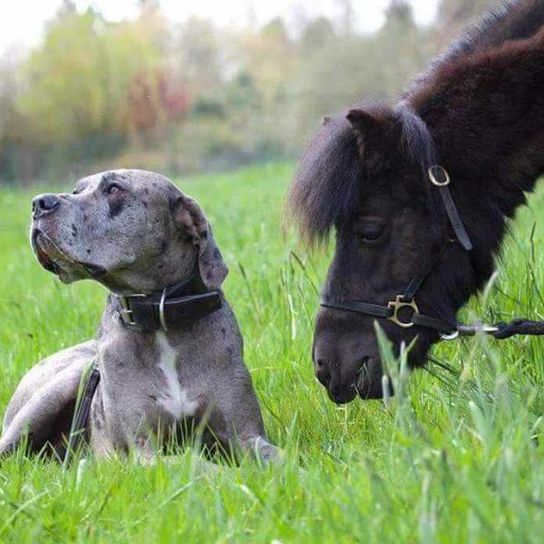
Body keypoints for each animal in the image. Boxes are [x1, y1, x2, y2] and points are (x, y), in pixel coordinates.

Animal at [0, 170, 278, 464]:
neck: (160, 315)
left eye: (114, 189)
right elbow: (194, 463)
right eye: (76, 191)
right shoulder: (143, 449)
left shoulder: (246, 434)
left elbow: (277, 456)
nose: (39, 203)